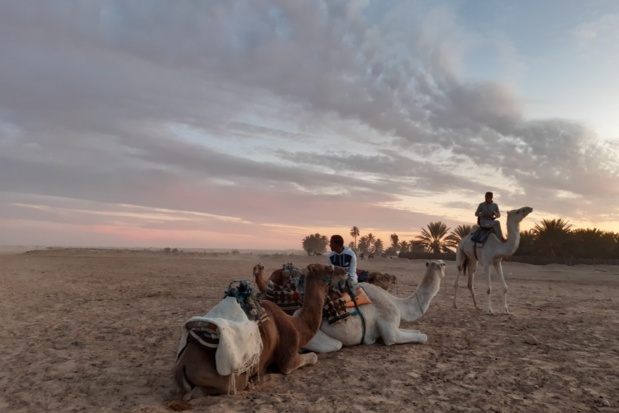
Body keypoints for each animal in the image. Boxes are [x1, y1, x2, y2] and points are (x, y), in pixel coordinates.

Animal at [173, 264, 348, 400]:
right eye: (329, 268)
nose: (345, 270)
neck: (296, 324)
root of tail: (181, 366)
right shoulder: (288, 358)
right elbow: (312, 358)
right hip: (231, 377)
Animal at [302, 260, 444, 350]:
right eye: (443, 264)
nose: (395, 277)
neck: (398, 304)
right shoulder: (390, 331)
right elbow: (423, 336)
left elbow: (417, 331)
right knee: (335, 345)